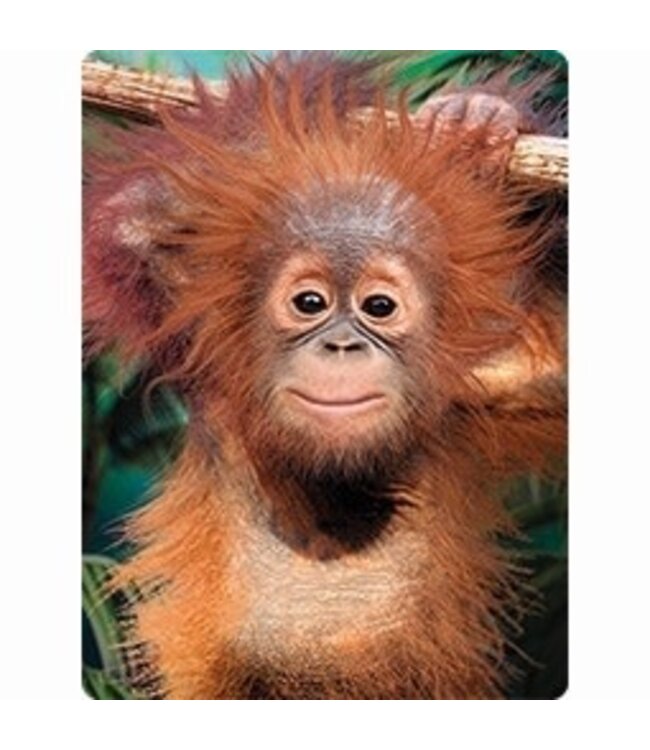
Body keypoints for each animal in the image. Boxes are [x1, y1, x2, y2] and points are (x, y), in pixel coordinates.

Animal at [83, 52, 567, 699]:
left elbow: (555, 370)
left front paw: (483, 119)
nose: (341, 345)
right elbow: (130, 223)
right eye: (309, 303)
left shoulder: (486, 387)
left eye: (379, 307)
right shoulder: (206, 350)